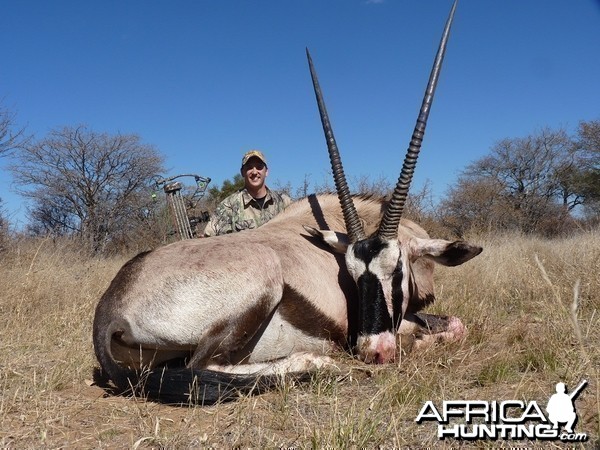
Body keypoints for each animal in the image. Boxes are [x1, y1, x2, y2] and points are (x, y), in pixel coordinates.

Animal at [92, 0, 478, 406]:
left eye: (397, 270)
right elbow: (453, 326)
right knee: (201, 366)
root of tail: (111, 309)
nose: (374, 351)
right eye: (352, 276)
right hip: (260, 283)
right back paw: (315, 363)